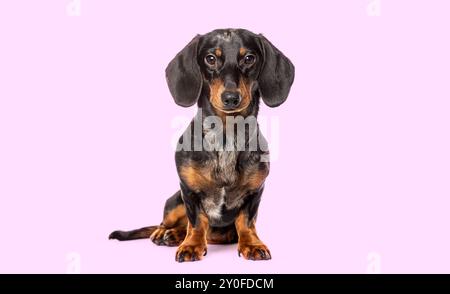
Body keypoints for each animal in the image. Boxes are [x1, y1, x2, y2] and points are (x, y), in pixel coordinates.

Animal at [107, 28, 294, 262]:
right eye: (210, 58)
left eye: (249, 58)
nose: (231, 98)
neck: (226, 134)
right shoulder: (188, 191)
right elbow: (196, 222)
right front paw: (191, 245)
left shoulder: (255, 192)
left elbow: (246, 221)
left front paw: (252, 243)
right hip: (174, 201)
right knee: (170, 222)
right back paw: (166, 233)